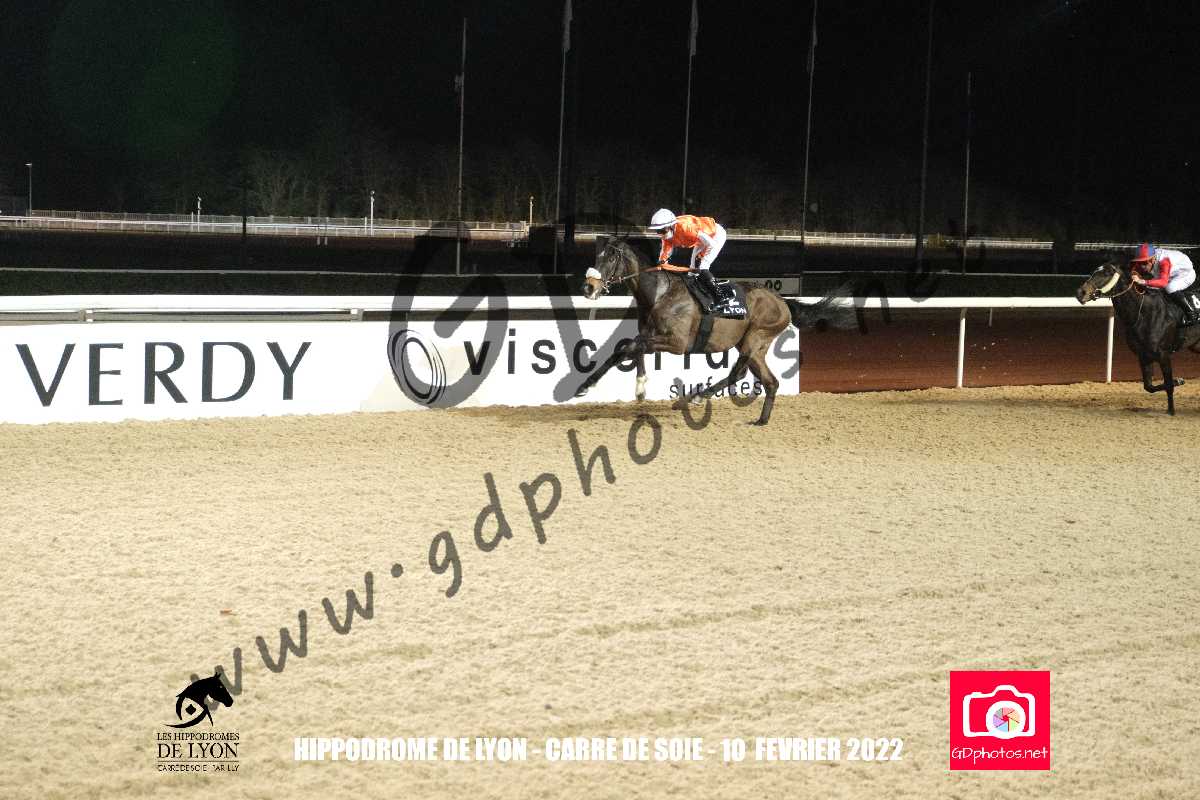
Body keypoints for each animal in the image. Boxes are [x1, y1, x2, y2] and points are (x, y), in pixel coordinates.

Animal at [576, 237, 850, 425]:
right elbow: (633, 347)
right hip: (754, 346)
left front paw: (588, 385)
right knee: (770, 382)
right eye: (597, 257)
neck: (659, 294)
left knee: (738, 374)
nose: (588, 287)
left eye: (611, 258)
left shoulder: (677, 343)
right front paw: (639, 387)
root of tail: (783, 301)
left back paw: (693, 398)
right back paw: (761, 420)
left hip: (755, 337)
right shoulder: (649, 332)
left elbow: (628, 347)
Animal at [1077, 257, 1200, 415]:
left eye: (1106, 273)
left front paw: (1171, 410)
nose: (1081, 292)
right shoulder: (1143, 355)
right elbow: (1149, 386)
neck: (1143, 314)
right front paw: (1179, 380)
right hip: (1196, 346)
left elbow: (1168, 384)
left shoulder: (1163, 354)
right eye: (1094, 271)